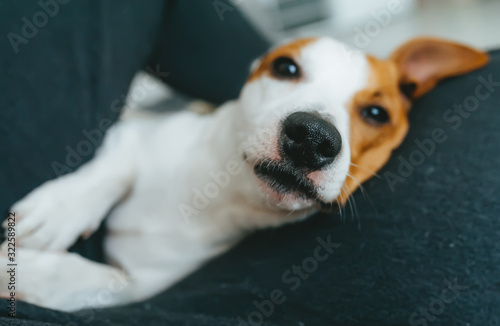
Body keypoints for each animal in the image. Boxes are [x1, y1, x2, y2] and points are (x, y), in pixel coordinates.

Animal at [0, 36, 488, 310]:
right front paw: (57, 211)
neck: (218, 192)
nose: (312, 136)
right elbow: (112, 168)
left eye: (376, 113)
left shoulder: (141, 284)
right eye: (285, 67)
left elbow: (96, 283)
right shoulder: (134, 134)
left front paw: (26, 272)